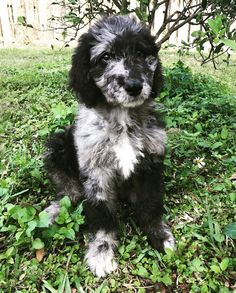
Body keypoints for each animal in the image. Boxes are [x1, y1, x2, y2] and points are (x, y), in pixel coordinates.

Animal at [45, 15, 174, 276]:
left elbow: (151, 203)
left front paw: (159, 235)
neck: (121, 116)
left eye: (140, 53)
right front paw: (102, 251)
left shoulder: (151, 164)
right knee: (71, 192)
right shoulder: (97, 172)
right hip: (58, 146)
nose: (134, 86)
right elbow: (103, 215)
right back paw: (53, 212)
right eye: (105, 57)